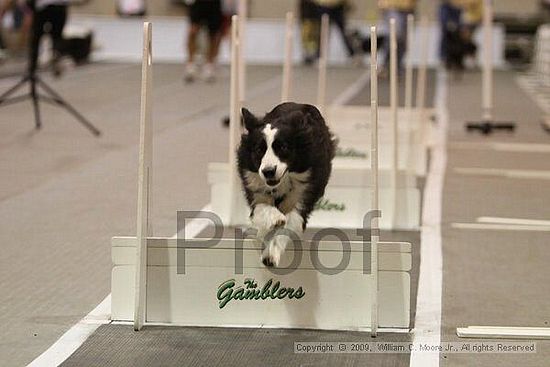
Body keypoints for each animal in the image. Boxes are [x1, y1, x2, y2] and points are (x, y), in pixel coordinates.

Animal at [237, 103, 336, 268]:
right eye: (259, 150)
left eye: (283, 147)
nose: (268, 171)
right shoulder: (255, 187)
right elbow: (262, 208)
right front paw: (274, 218)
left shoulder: (304, 194)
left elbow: (290, 222)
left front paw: (270, 255)